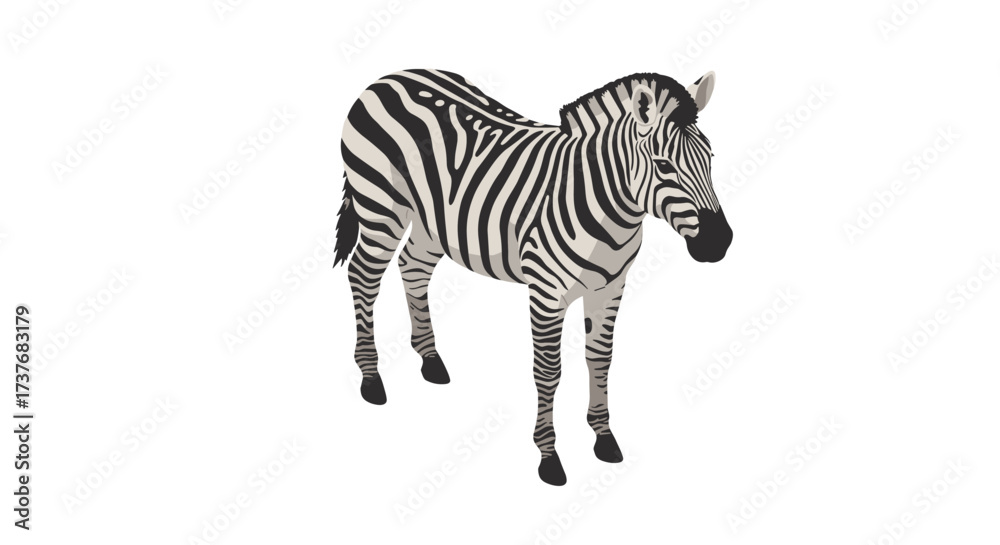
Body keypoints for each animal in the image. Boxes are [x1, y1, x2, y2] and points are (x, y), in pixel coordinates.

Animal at [336, 69, 732, 485]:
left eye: (709, 158)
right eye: (663, 165)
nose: (720, 242)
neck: (607, 206)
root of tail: (388, 77)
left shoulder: (610, 288)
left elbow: (600, 359)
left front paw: (604, 438)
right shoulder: (546, 293)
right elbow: (548, 371)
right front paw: (549, 456)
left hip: (432, 221)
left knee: (413, 267)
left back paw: (430, 359)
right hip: (380, 206)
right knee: (363, 275)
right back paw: (370, 377)